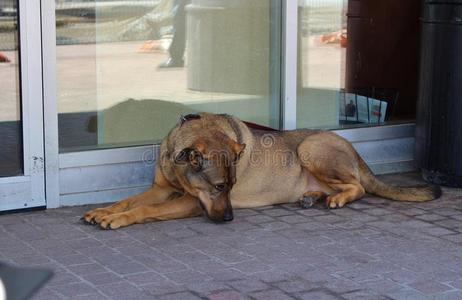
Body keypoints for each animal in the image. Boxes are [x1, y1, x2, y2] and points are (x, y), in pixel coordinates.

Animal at [82, 113, 440, 230]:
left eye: (229, 187)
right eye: (218, 187)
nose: (229, 218)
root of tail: (355, 151)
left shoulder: (189, 201)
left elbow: (143, 209)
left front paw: (116, 219)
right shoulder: (161, 188)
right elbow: (128, 200)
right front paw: (102, 211)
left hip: (310, 147)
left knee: (359, 187)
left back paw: (337, 199)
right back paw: (312, 197)